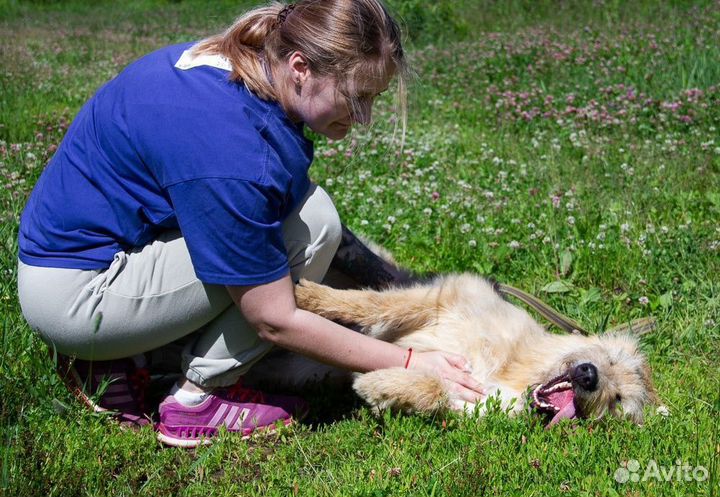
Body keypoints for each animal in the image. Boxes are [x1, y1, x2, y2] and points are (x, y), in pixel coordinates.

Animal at [294, 274, 660, 424]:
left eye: (616, 402)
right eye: (609, 358)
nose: (588, 376)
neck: (516, 371)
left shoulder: (473, 404)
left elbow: (433, 390)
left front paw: (379, 384)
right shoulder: (441, 300)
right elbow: (373, 304)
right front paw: (310, 297)